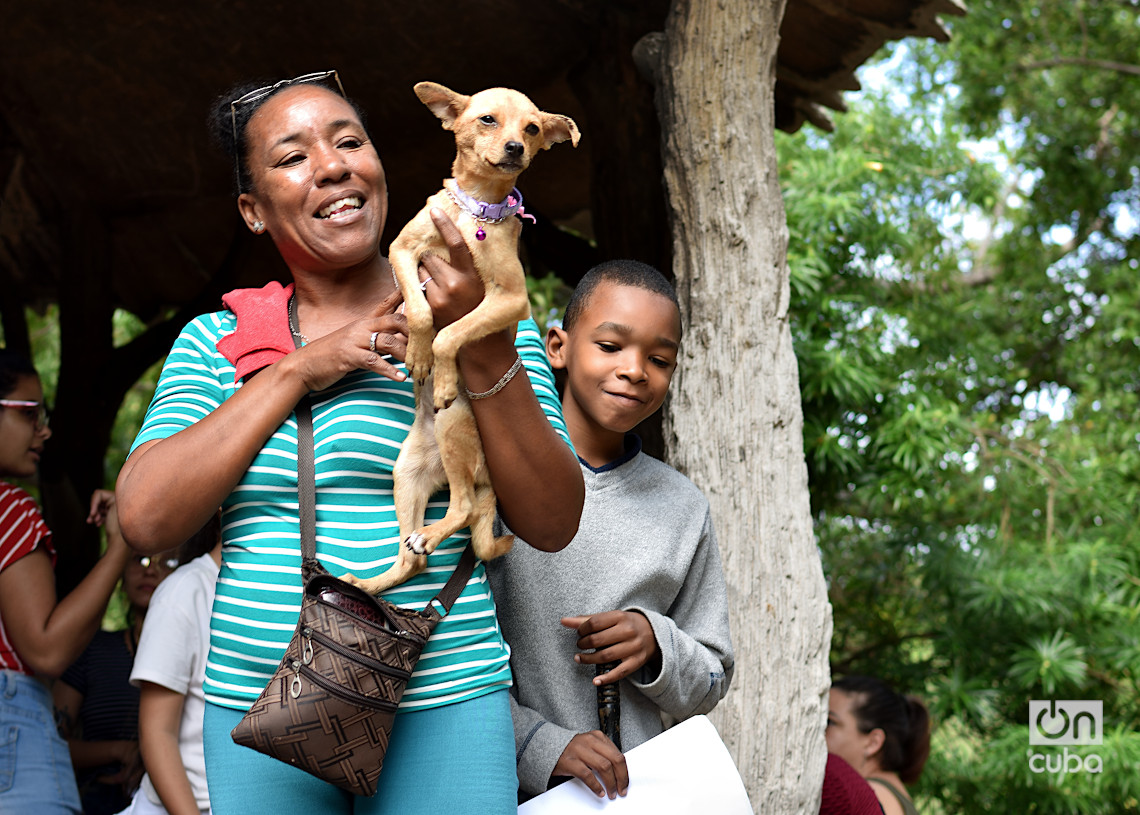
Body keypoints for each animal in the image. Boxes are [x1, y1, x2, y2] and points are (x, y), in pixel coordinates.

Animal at [342, 82, 579, 592]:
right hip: (406, 474)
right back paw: (367, 584)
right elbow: (419, 309)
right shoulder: (404, 251)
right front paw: (416, 353)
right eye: (487, 119)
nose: (515, 147)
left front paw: (442, 372)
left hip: (453, 430)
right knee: (414, 560)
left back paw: (430, 534)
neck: (478, 211)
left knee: (465, 508)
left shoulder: (511, 299)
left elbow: (451, 331)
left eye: (532, 129)